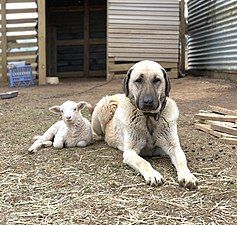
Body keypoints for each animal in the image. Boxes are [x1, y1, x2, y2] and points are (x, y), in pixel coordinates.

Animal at [91, 60, 197, 190]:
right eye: (138, 80)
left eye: (157, 80)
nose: (148, 102)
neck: (149, 118)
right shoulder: (130, 152)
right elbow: (143, 162)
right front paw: (153, 175)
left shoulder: (174, 147)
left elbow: (182, 161)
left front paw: (187, 175)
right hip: (106, 105)